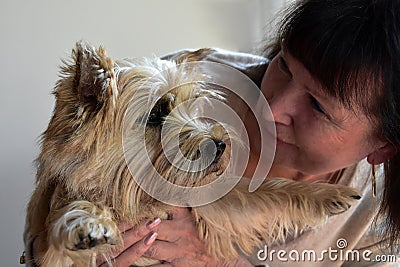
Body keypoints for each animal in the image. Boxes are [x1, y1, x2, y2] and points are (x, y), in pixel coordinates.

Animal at [24, 40, 362, 266]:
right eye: (157, 113)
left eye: (192, 105)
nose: (221, 144)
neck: (136, 197)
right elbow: (70, 216)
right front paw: (87, 223)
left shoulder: (206, 200)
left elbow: (261, 193)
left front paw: (327, 194)